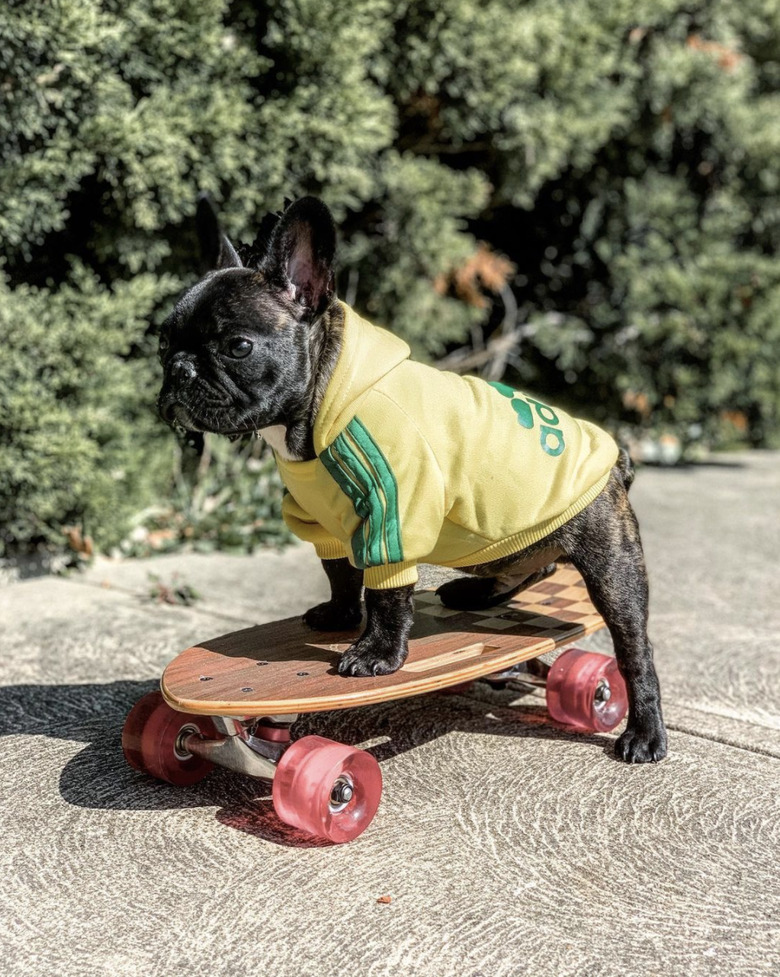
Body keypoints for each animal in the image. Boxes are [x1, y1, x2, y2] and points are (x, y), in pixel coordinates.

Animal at [157, 194, 664, 764]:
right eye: (162, 342)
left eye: (237, 346)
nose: (179, 369)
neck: (319, 405)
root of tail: (616, 457)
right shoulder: (325, 522)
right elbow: (340, 573)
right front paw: (339, 614)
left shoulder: (392, 512)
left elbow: (386, 594)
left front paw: (376, 653)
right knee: (538, 566)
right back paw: (476, 592)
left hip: (610, 562)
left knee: (633, 646)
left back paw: (644, 733)